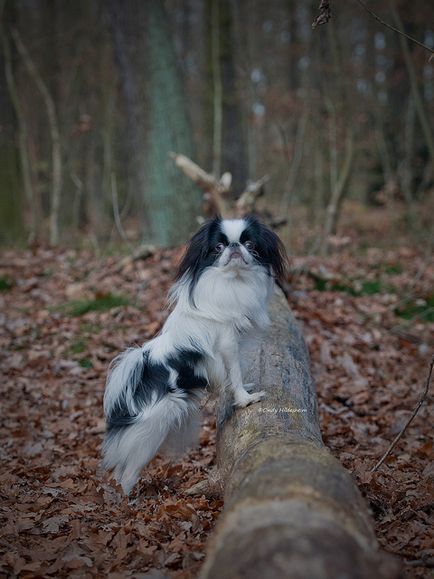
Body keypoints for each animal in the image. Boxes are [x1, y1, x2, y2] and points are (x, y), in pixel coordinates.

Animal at [101, 218, 288, 494]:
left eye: (249, 244)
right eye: (219, 247)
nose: (234, 246)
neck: (234, 282)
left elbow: (235, 376)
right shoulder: (228, 344)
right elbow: (235, 372)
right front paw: (246, 399)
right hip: (151, 433)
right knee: (127, 474)